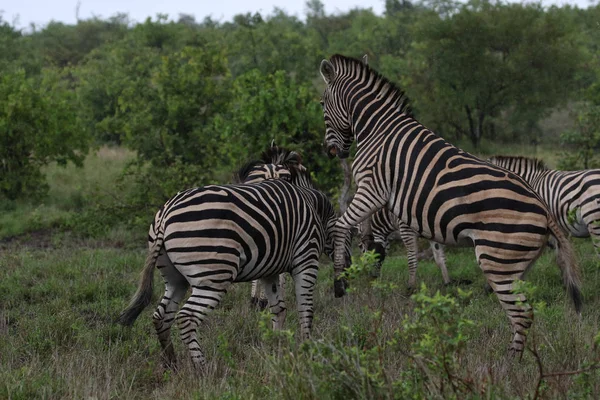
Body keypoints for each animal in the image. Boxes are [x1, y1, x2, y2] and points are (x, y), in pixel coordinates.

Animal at [116, 159, 346, 368]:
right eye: (345, 236)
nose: (342, 289)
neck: (314, 208)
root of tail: (165, 214)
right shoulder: (306, 259)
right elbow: (306, 309)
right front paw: (308, 351)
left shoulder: (269, 270)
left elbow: (279, 309)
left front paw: (277, 348)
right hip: (213, 275)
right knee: (186, 317)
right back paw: (202, 369)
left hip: (174, 277)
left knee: (162, 315)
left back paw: (172, 362)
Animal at [318, 54, 580, 354]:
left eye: (322, 104)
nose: (331, 151)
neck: (377, 129)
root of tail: (543, 209)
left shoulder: (372, 188)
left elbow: (342, 227)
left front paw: (341, 281)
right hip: (515, 263)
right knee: (522, 309)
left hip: (496, 259)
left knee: (521, 314)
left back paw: (510, 362)